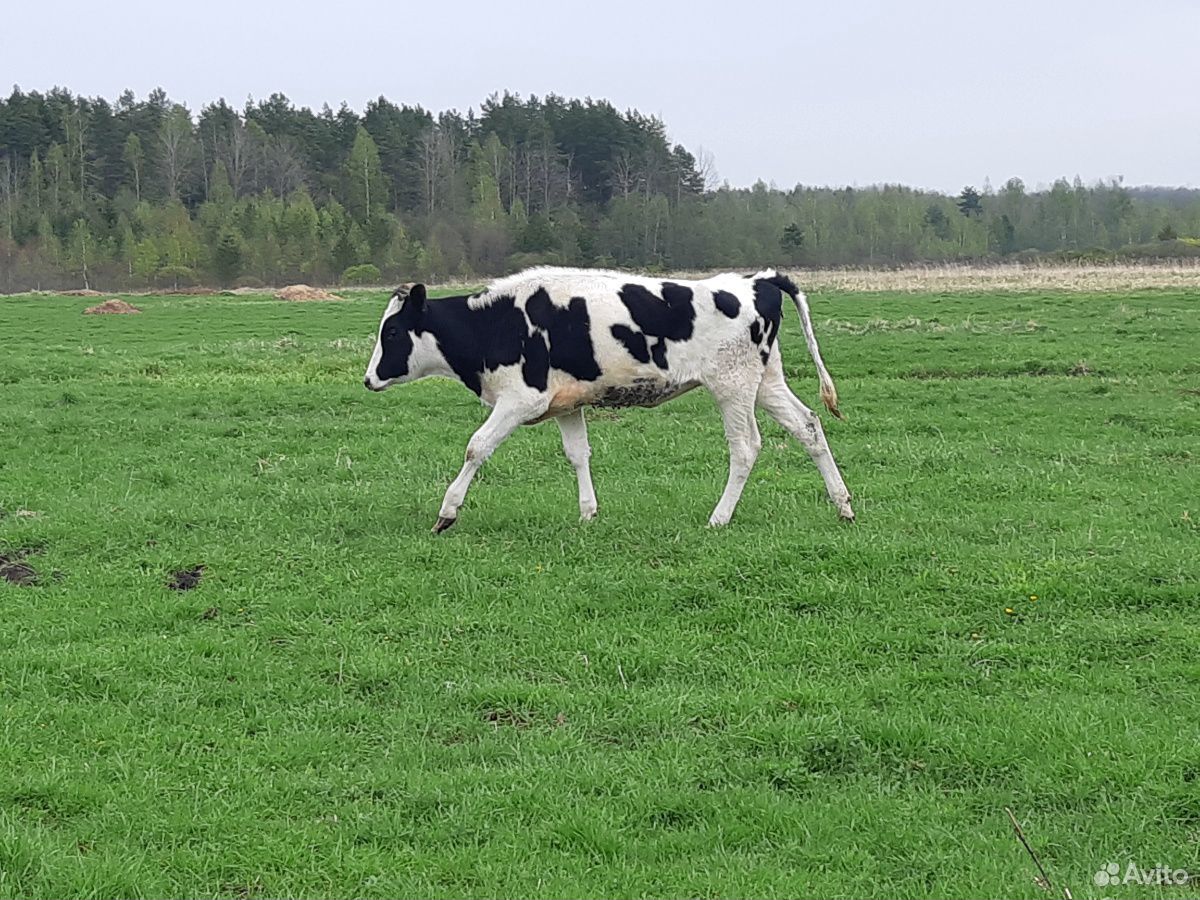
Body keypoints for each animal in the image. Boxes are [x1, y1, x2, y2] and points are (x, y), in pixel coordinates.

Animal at [362, 271, 854, 532]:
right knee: (808, 426)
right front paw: (588, 512)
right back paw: (843, 505)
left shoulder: (520, 400)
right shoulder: (566, 403)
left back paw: (719, 517)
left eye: (392, 331)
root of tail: (759, 278)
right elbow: (578, 454)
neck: (497, 322)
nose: (368, 379)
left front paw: (447, 512)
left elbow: (476, 447)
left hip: (732, 386)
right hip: (766, 382)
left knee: (746, 447)